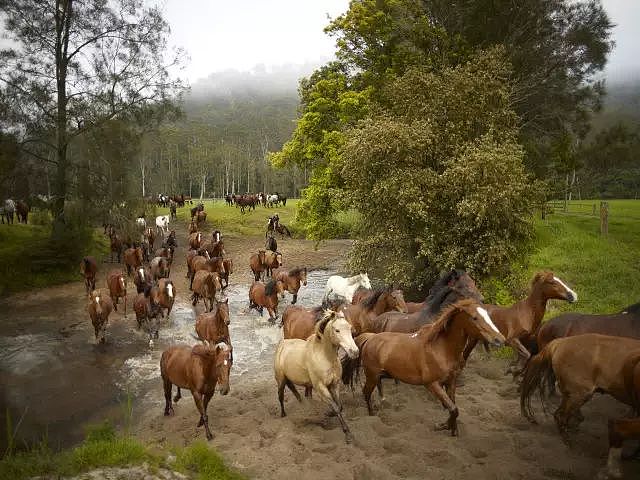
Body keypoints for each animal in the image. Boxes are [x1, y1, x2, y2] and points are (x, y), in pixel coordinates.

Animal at [274, 310, 359, 443]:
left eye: (349, 328)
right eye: (337, 330)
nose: (354, 352)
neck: (325, 357)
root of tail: (282, 345)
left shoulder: (334, 384)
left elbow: (339, 406)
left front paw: (329, 414)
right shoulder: (320, 387)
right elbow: (335, 407)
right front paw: (348, 434)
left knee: (296, 391)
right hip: (280, 380)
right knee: (281, 396)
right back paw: (283, 415)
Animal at [345, 300, 504, 436]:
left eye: (488, 316)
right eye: (474, 318)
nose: (500, 339)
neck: (440, 348)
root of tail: (369, 338)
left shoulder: (451, 381)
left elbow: (452, 406)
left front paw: (451, 428)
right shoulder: (432, 384)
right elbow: (453, 408)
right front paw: (444, 426)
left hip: (381, 374)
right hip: (371, 375)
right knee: (366, 392)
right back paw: (372, 415)